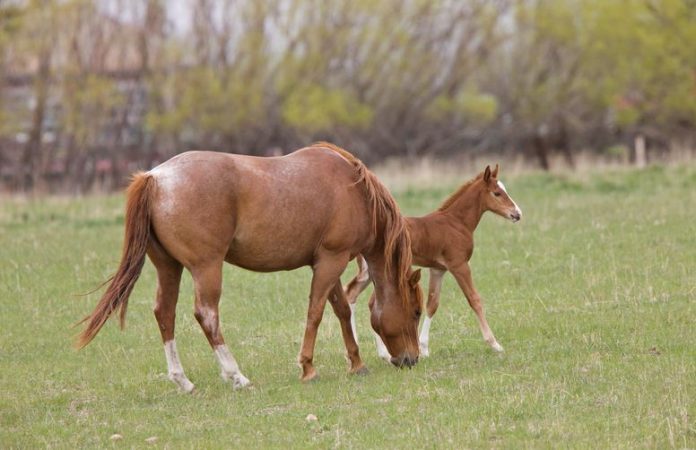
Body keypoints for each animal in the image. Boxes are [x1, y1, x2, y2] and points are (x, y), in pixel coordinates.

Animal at [77, 143, 424, 390]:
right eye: (416, 311)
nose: (411, 359)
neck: (353, 188)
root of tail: (155, 177)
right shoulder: (331, 260)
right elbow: (316, 311)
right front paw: (308, 367)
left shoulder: (326, 263)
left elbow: (340, 309)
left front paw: (356, 363)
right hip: (207, 268)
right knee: (207, 316)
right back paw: (236, 375)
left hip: (169, 267)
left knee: (165, 313)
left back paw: (183, 381)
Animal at [346, 165, 520, 358]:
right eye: (497, 193)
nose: (517, 214)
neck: (457, 222)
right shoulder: (459, 265)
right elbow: (474, 299)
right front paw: (495, 344)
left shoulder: (438, 269)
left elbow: (432, 304)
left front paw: (424, 348)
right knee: (368, 301)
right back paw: (380, 353)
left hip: (370, 273)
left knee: (353, 294)